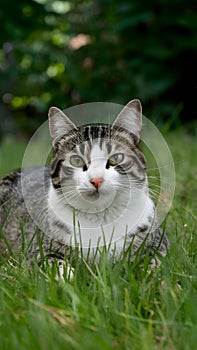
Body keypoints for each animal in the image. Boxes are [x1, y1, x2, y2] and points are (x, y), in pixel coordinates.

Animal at [0, 98, 169, 276]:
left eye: (116, 158)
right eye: (77, 160)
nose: (96, 180)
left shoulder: (159, 245)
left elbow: (153, 263)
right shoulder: (39, 250)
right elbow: (57, 266)